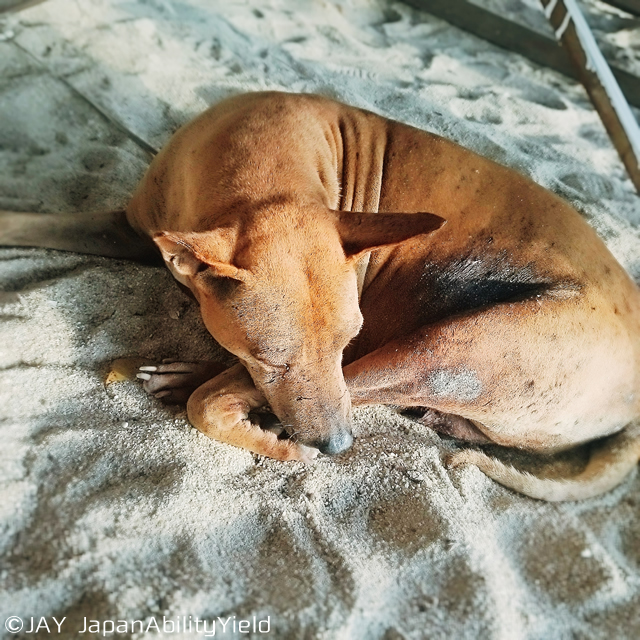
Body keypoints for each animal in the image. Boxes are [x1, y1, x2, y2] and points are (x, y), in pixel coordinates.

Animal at [2, 91, 639, 500]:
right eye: (271, 357)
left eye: (345, 340)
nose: (336, 447)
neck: (264, 175)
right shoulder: (125, 228)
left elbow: (219, 403)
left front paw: (276, 444)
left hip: (454, 348)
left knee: (231, 397)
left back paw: (197, 384)